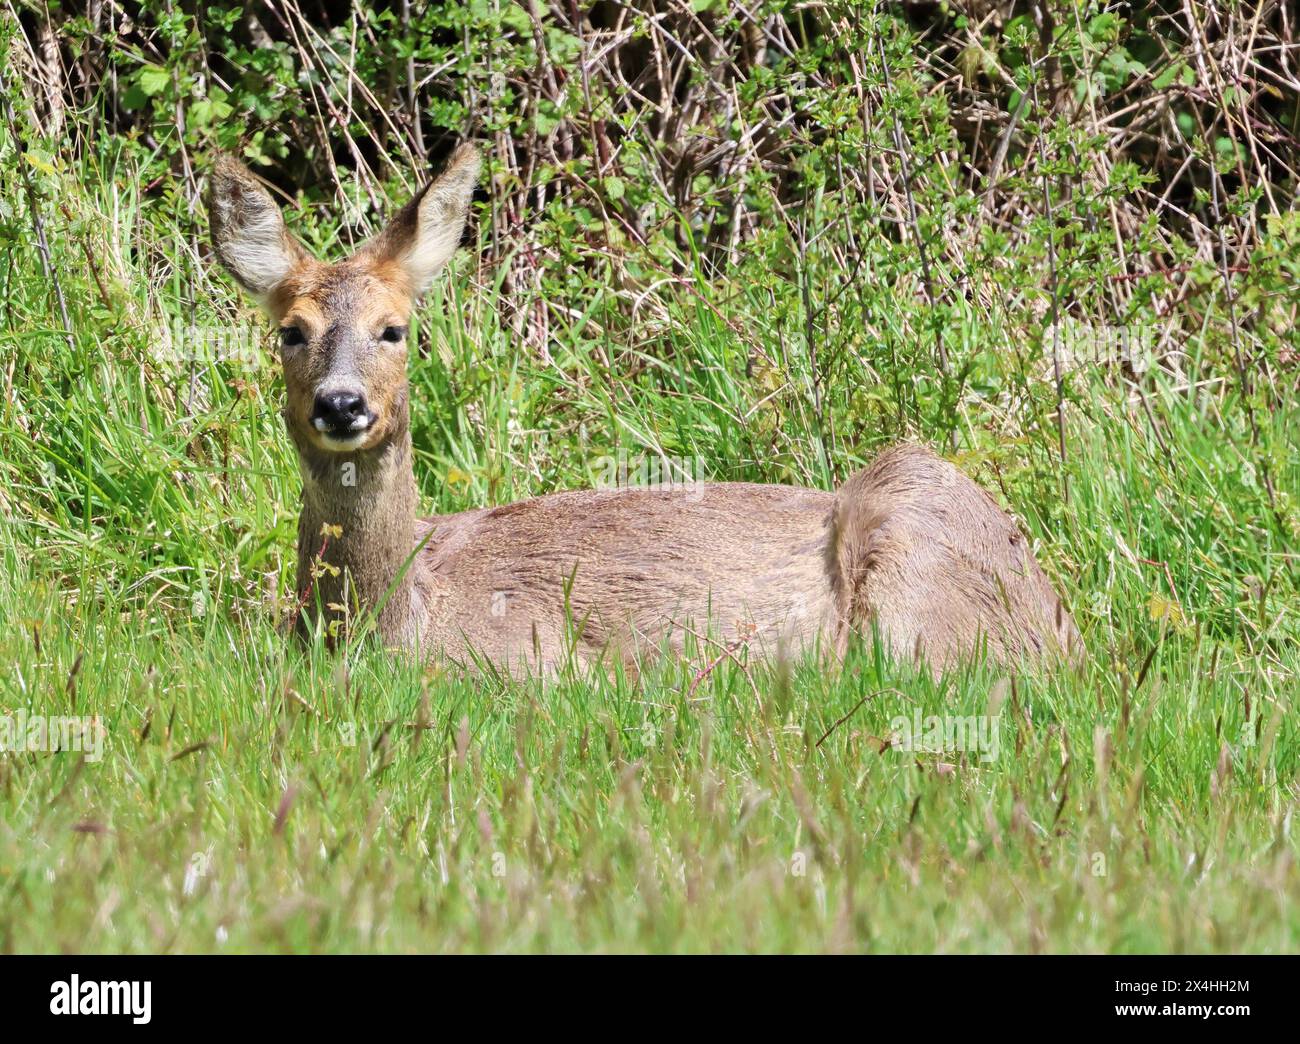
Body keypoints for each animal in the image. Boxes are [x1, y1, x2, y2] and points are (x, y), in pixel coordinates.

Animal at [208, 146, 1081, 681]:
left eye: (395, 329)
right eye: (291, 331)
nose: (342, 403)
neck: (395, 618)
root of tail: (1060, 623)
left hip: (912, 529)